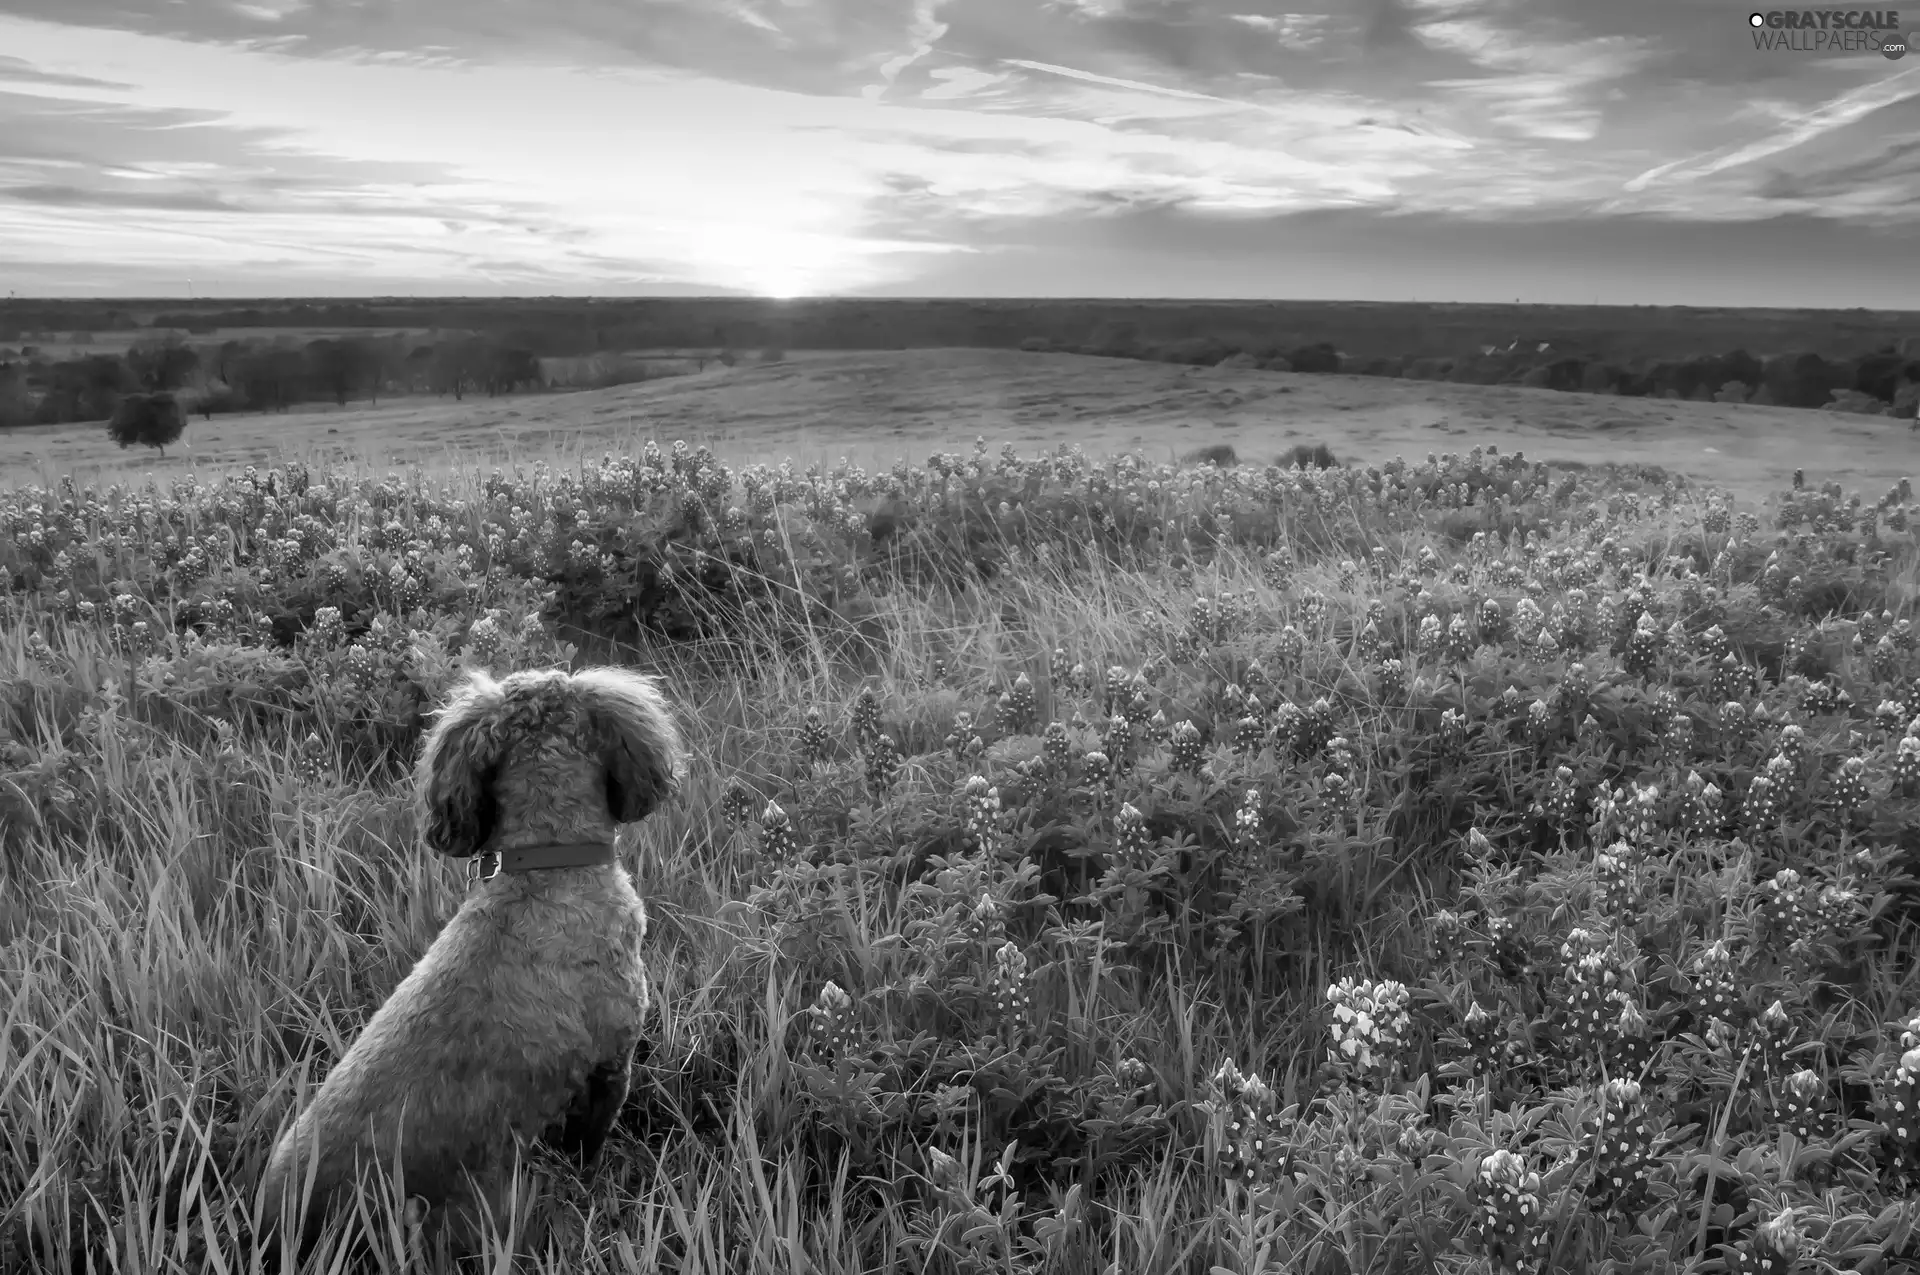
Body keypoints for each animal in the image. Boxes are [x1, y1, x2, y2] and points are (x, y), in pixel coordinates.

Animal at [259, 660, 687, 1259]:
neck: (547, 868)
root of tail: (286, 1225)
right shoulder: (610, 1066)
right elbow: (587, 1147)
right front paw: (590, 1182)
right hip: (472, 1209)